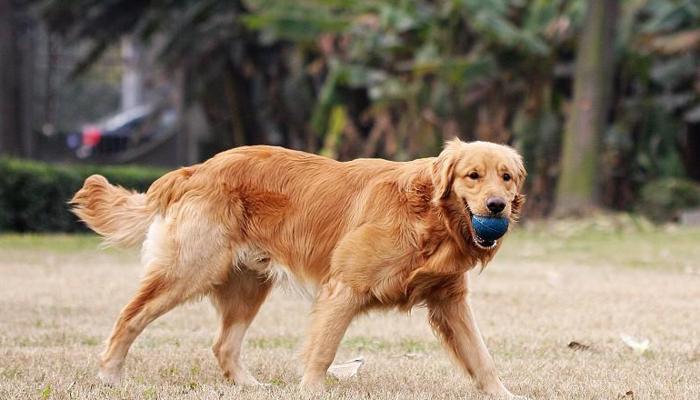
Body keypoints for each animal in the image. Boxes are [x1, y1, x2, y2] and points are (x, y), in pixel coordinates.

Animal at [74, 137, 528, 396]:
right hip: (188, 272)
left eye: (506, 177)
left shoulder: (451, 300)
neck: (430, 218)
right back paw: (109, 375)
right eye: (472, 176)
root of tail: (196, 169)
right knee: (130, 318)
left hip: (248, 285)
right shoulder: (343, 289)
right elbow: (323, 351)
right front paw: (310, 389)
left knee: (224, 344)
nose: (497, 206)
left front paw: (503, 394)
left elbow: (482, 356)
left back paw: (251, 387)